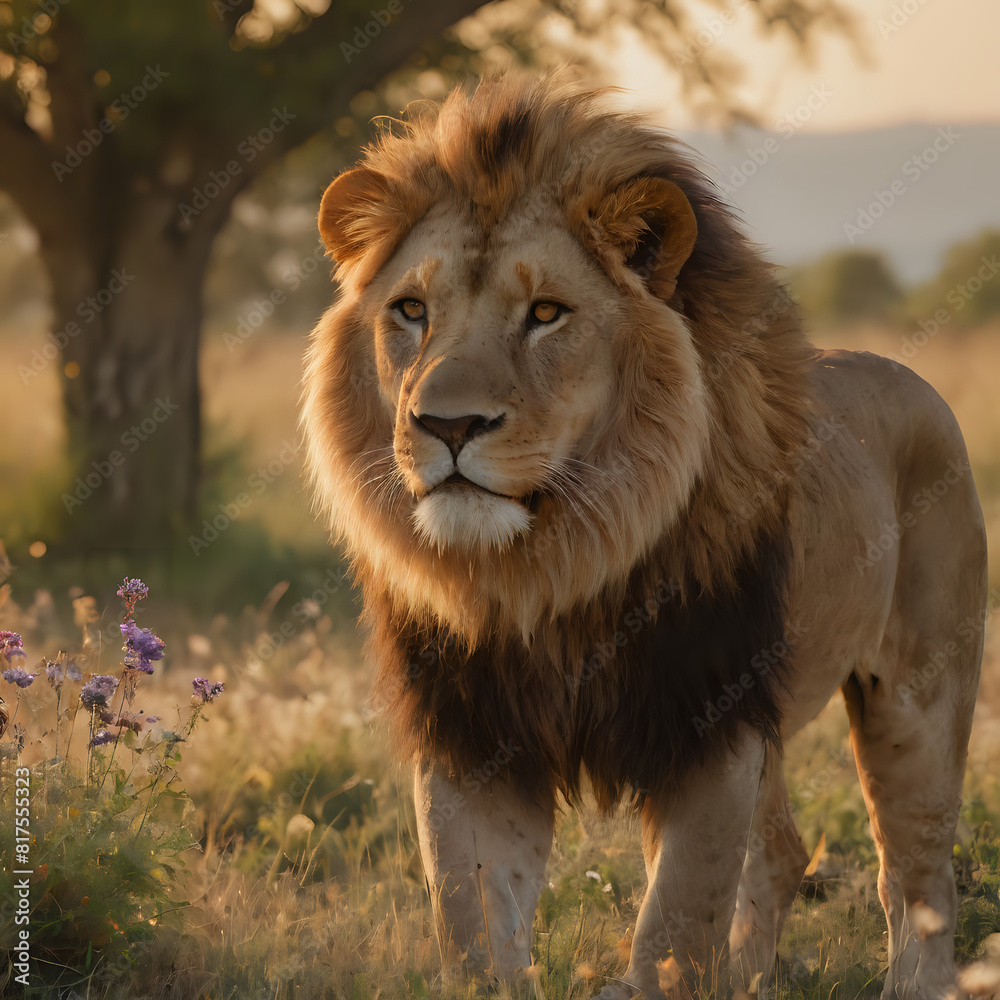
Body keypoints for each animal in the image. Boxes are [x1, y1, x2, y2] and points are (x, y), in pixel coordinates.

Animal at [301, 73, 987, 999]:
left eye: (546, 314)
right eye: (410, 310)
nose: (446, 425)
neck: (551, 568)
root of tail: (906, 374)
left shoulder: (712, 725)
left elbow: (677, 925)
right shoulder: (469, 731)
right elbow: (473, 925)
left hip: (917, 696)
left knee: (918, 876)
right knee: (781, 853)